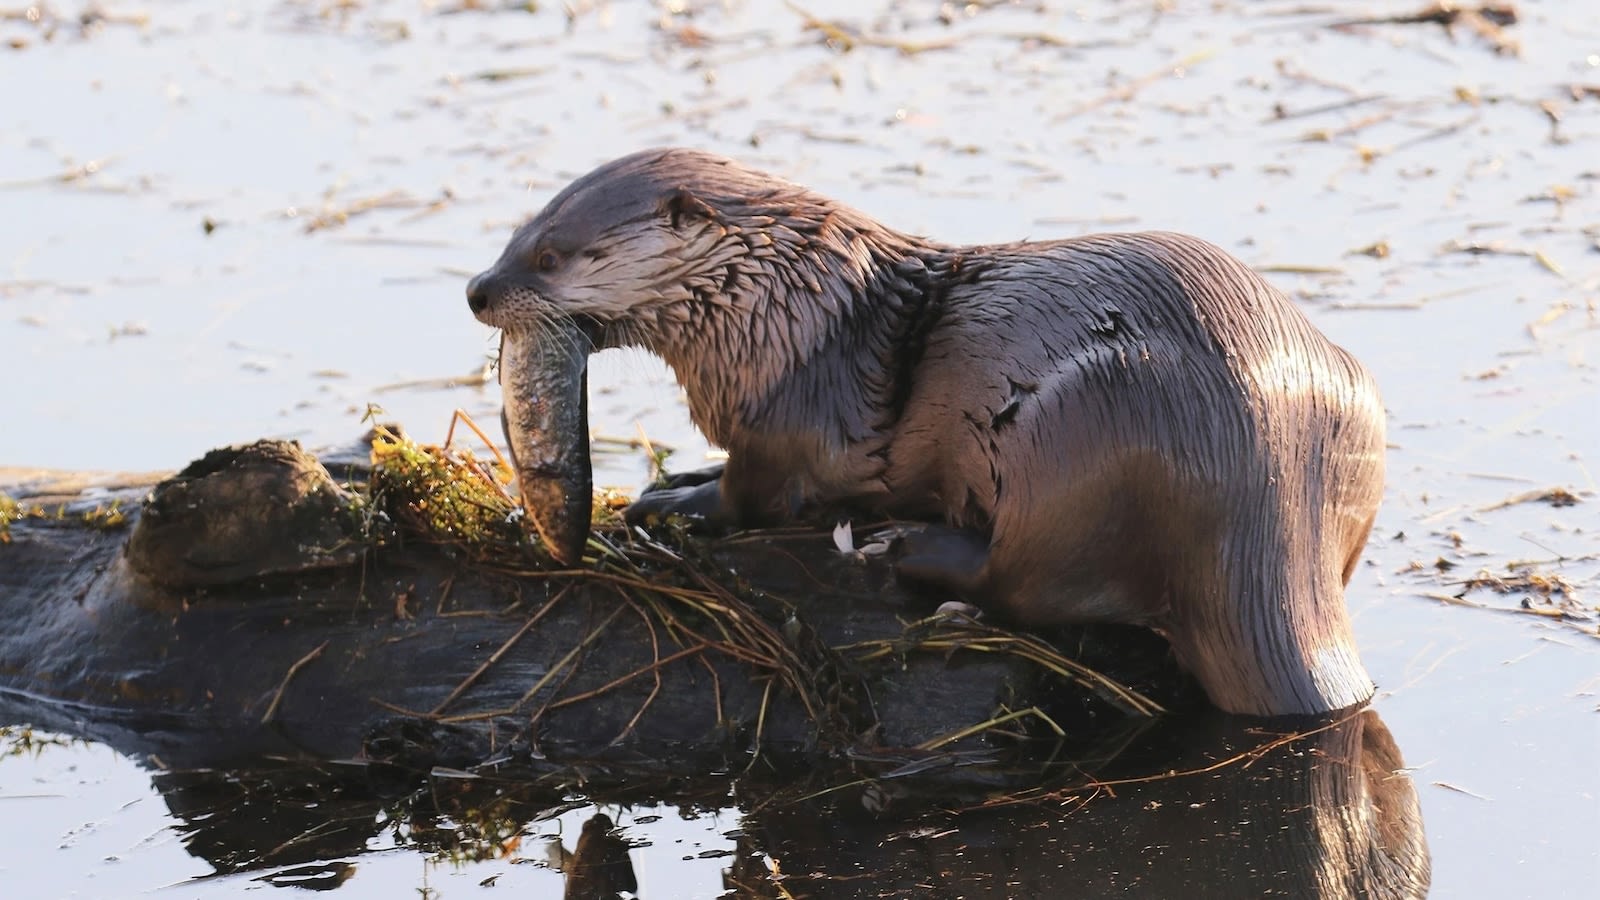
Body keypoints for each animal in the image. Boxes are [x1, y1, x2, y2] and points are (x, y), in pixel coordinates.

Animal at [467, 150, 1388, 717]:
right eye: (516, 232)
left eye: (551, 256)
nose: (478, 289)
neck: (781, 313)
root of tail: (1268, 497)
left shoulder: (782, 421)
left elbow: (754, 494)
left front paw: (676, 501)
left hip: (1087, 436)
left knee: (1026, 585)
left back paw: (914, 550)